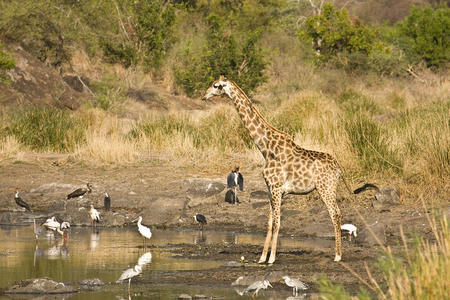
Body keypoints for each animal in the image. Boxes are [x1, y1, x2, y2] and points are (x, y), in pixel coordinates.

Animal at [205, 75, 348, 262]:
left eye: (216, 86)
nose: (204, 95)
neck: (266, 148)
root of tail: (339, 168)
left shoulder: (277, 188)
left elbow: (278, 223)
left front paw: (272, 258)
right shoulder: (270, 189)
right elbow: (269, 222)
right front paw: (262, 258)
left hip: (326, 188)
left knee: (335, 214)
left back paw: (338, 256)